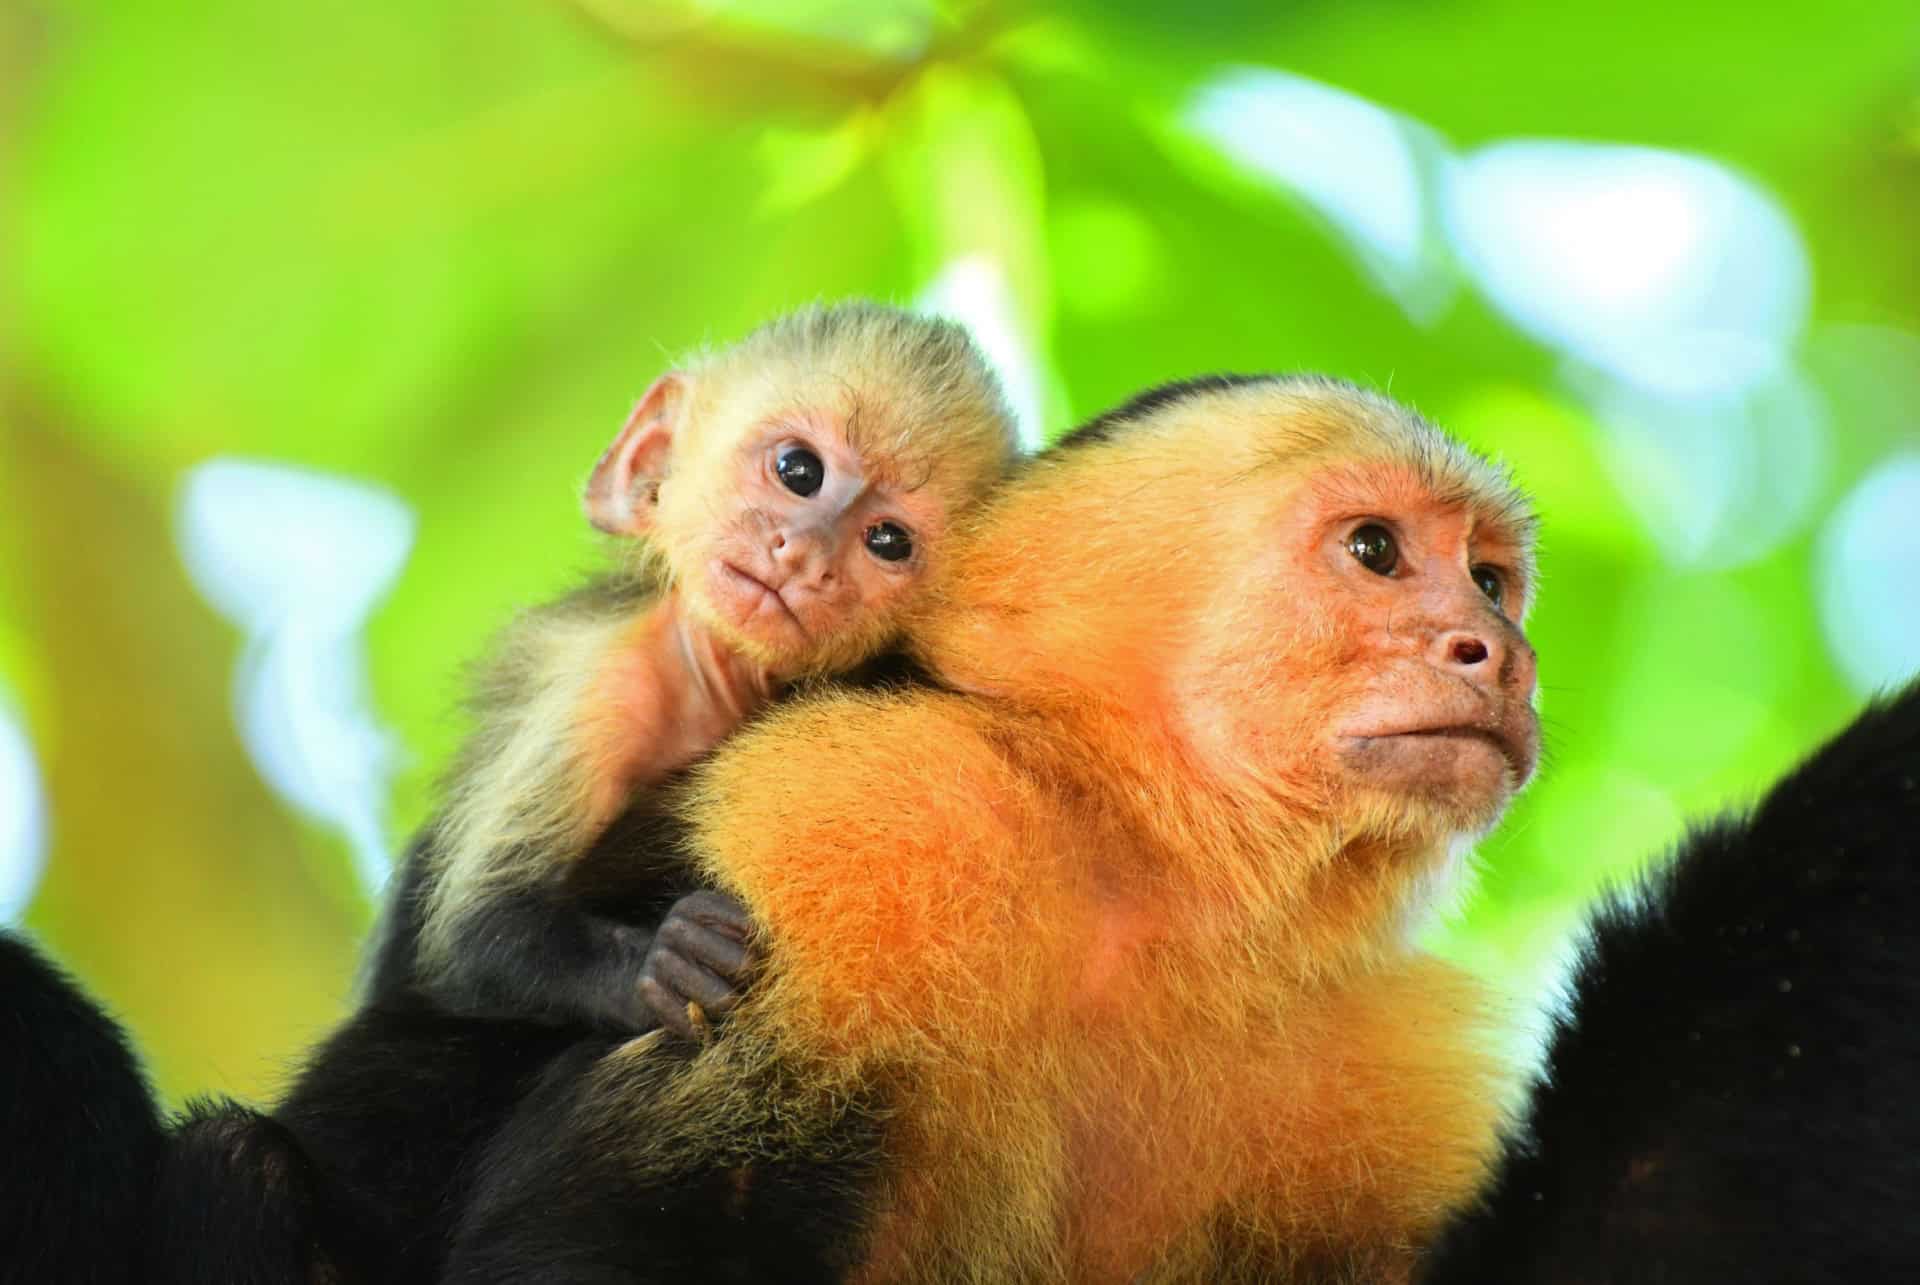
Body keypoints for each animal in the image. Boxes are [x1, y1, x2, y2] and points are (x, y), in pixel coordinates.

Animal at [407, 305, 1021, 1037]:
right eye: (799, 470)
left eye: (888, 540)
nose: (807, 555)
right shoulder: (604, 688)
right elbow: (475, 936)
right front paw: (661, 966)